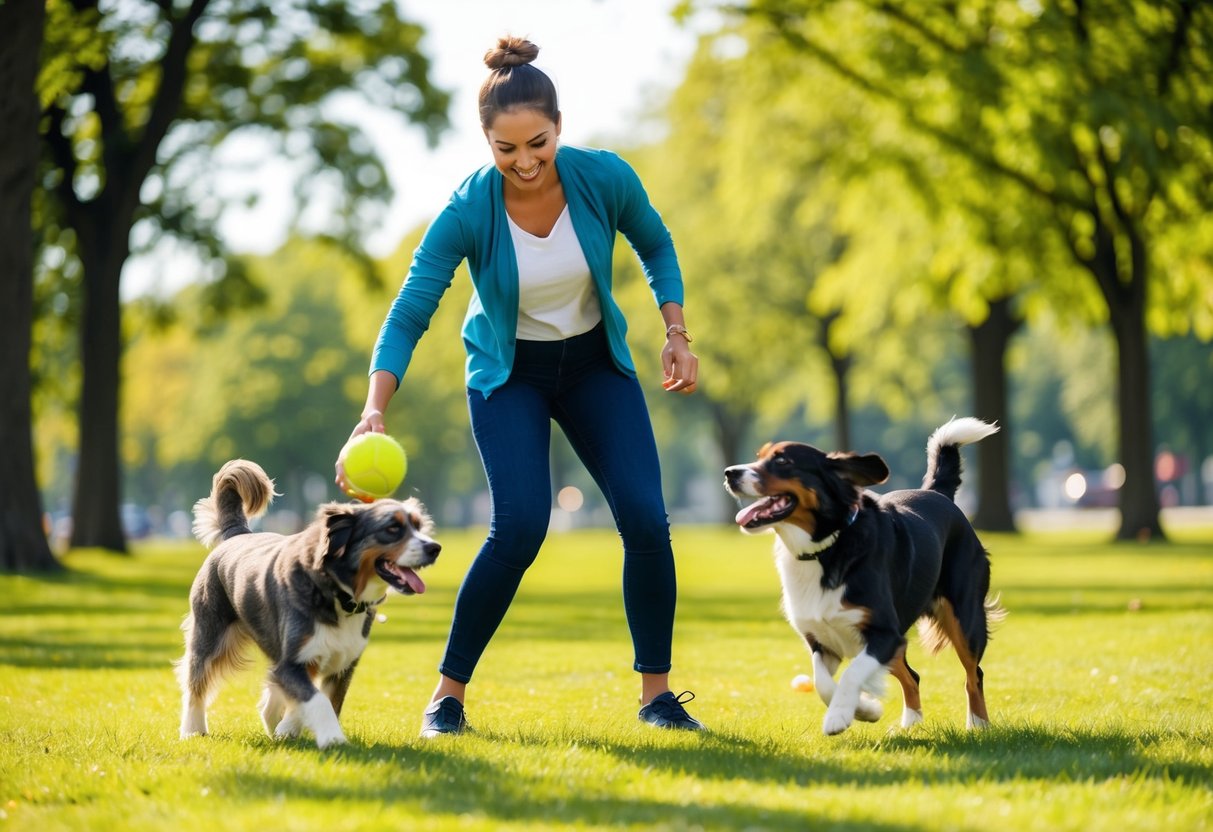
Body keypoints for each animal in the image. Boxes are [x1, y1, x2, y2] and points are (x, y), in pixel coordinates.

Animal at [175, 458, 441, 751]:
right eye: (392, 529)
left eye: (418, 526)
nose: (435, 548)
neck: (339, 593)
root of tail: (238, 534)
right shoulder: (293, 660)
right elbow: (317, 700)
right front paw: (332, 738)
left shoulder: (341, 663)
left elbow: (323, 699)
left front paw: (288, 728)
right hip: (210, 633)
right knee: (195, 682)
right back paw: (192, 730)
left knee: (270, 693)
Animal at [722, 419, 999, 732]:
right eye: (759, 456)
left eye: (782, 461)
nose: (730, 473)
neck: (826, 548)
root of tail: (937, 493)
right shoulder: (822, 638)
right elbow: (822, 682)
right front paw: (865, 709)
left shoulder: (884, 633)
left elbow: (851, 674)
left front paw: (840, 716)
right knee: (912, 676)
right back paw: (910, 724)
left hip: (964, 618)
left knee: (973, 675)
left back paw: (978, 724)